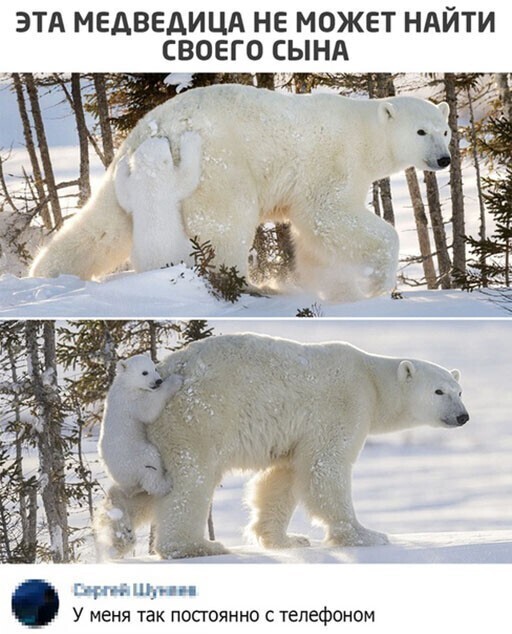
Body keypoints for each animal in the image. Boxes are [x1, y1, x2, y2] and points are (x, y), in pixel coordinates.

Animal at [97, 354, 183, 496]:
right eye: (144, 372)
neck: (125, 384)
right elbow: (149, 409)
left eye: (155, 368)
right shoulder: (131, 401)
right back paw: (167, 482)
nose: (158, 381)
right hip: (135, 456)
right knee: (150, 463)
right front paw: (175, 380)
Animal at [114, 132, 202, 270]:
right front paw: (190, 137)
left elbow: (123, 195)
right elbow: (188, 177)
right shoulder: (170, 183)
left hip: (136, 254)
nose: (163, 136)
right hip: (184, 249)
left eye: (154, 138)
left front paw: (123, 159)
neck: (150, 175)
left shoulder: (134, 188)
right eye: (163, 141)